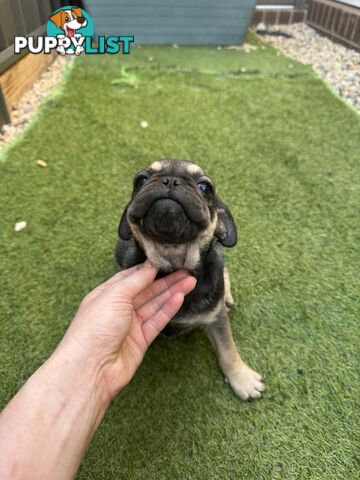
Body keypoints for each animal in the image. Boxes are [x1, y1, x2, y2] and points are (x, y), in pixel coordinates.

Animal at [116, 159, 264, 400]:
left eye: (205, 188)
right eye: (141, 180)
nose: (170, 180)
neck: (172, 262)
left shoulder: (217, 319)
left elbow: (228, 350)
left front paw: (242, 378)